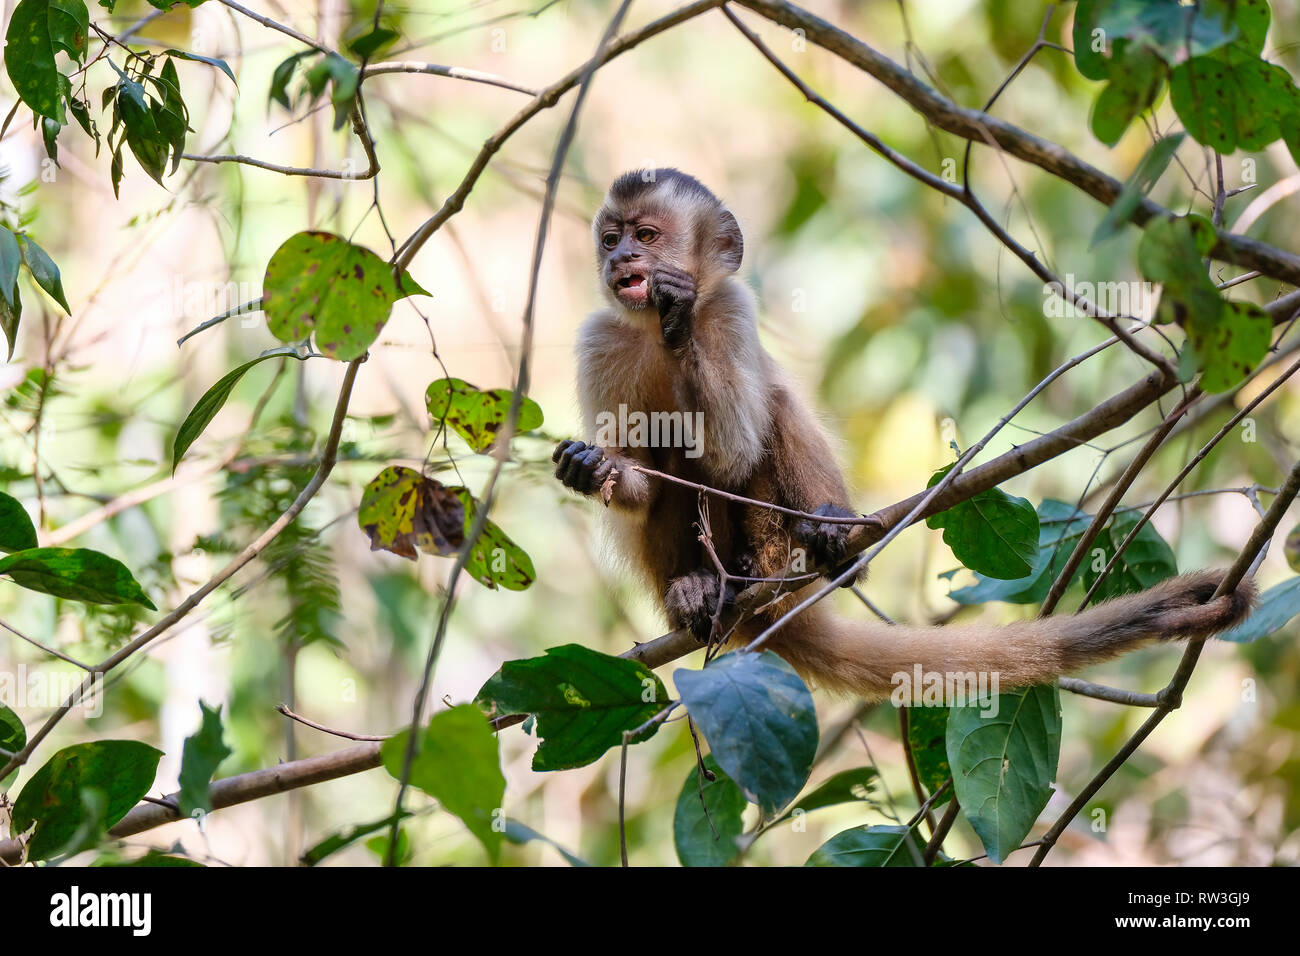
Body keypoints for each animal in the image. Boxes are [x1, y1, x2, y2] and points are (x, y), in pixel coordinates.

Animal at [553, 167, 1253, 697]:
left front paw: (678, 313)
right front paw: (594, 469)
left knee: (775, 410)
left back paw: (818, 548)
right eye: (611, 239)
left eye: (647, 235)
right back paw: (698, 592)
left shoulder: (726, 308)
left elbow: (733, 450)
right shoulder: (597, 339)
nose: (623, 258)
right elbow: (647, 479)